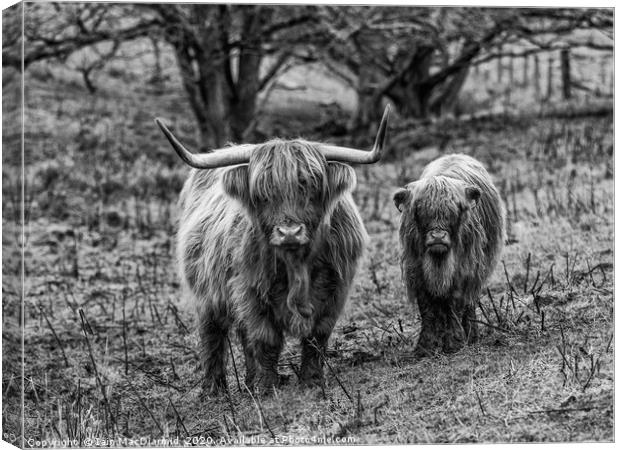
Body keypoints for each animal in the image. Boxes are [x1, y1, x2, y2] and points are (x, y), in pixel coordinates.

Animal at [154, 105, 388, 394]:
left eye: (311, 187)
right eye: (263, 194)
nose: (289, 233)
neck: (297, 264)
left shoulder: (336, 289)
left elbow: (317, 336)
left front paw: (311, 381)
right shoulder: (249, 290)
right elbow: (266, 338)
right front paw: (268, 388)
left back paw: (249, 381)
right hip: (206, 293)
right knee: (213, 334)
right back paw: (214, 390)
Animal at [394, 154, 506, 356]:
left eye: (454, 211)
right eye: (419, 211)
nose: (438, 236)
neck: (439, 262)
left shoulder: (464, 270)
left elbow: (453, 303)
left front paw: (454, 342)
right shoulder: (416, 271)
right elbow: (427, 308)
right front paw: (425, 346)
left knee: (469, 303)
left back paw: (471, 335)